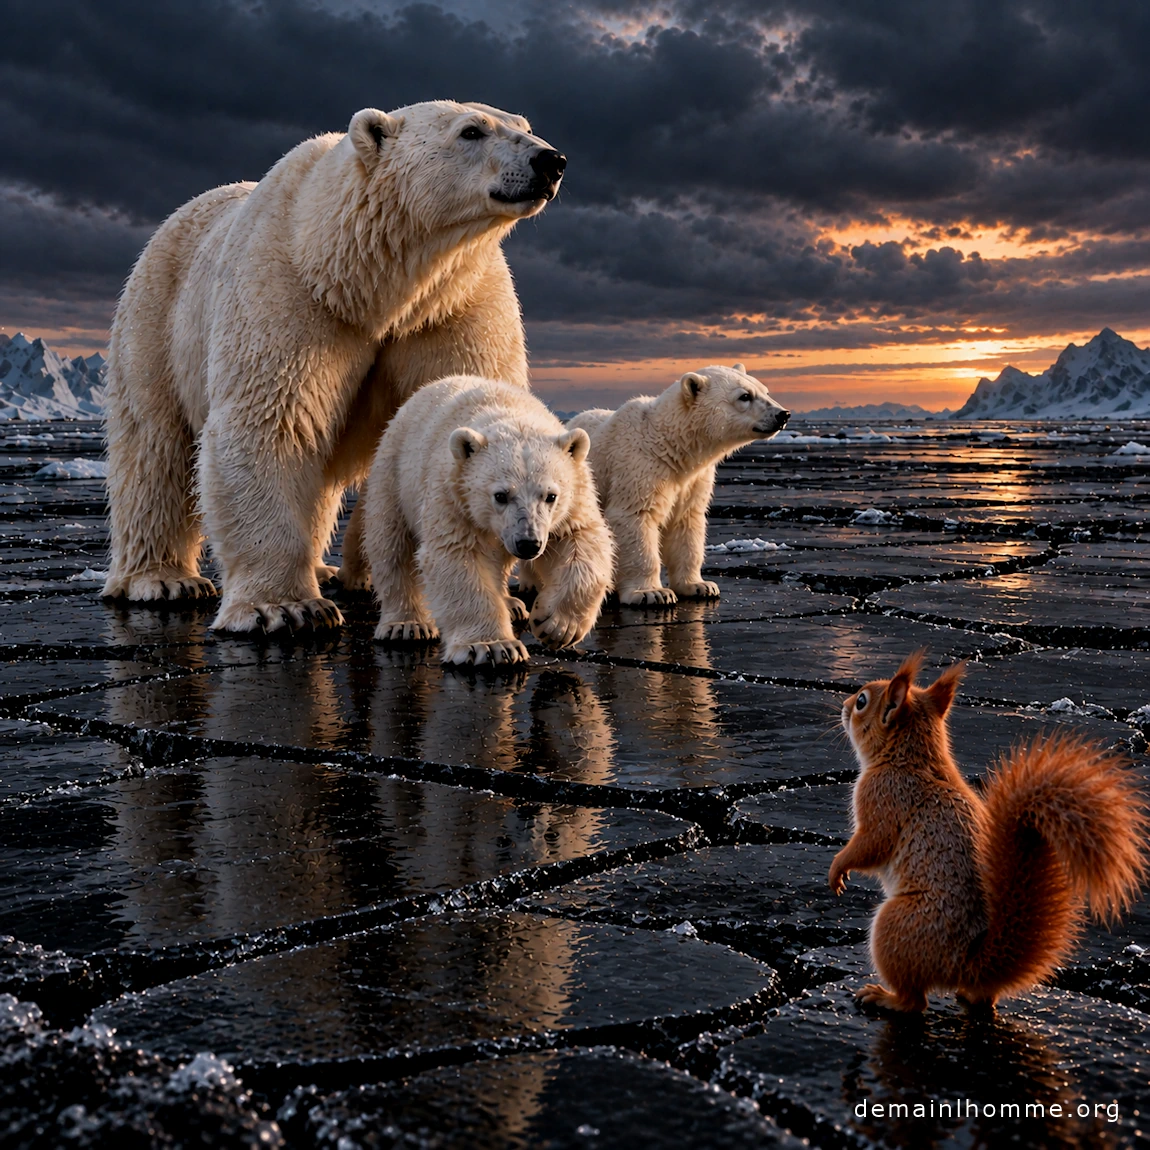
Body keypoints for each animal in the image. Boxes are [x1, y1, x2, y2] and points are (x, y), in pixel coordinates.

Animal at [829, 650, 1148, 1013]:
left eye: (862, 702)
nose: (844, 705)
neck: (911, 758)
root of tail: (969, 964)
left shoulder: (884, 798)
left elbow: (872, 844)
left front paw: (838, 868)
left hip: (895, 926)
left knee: (915, 1001)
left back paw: (885, 997)